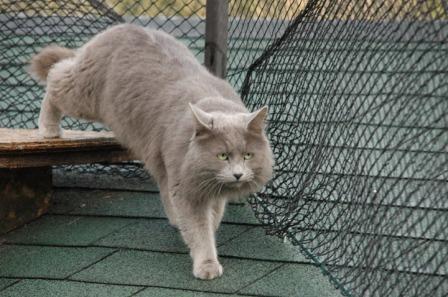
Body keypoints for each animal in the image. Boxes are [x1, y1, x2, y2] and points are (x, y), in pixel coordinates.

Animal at [29, 24, 272, 278]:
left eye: (247, 155)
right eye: (223, 156)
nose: (238, 174)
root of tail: (124, 27)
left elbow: (211, 213)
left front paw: (202, 225)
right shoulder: (186, 188)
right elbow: (199, 229)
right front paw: (206, 265)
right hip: (84, 95)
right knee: (55, 76)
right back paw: (48, 129)